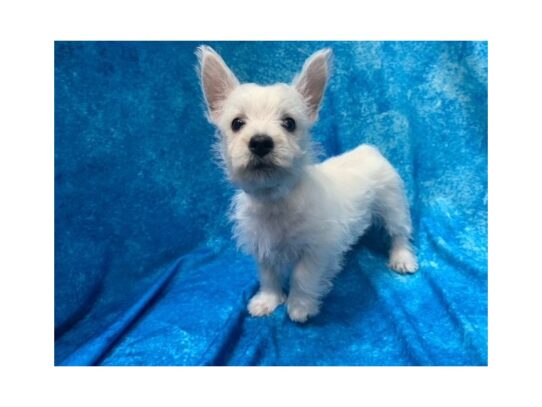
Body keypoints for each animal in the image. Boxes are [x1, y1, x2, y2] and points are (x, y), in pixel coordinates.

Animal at [198, 46, 418, 324]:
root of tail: (369, 149)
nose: (260, 142)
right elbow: (268, 275)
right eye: (237, 123)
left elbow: (302, 276)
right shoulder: (262, 244)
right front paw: (267, 301)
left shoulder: (317, 248)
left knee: (399, 233)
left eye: (289, 123)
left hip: (392, 205)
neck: (276, 198)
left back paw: (402, 258)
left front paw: (299, 307)